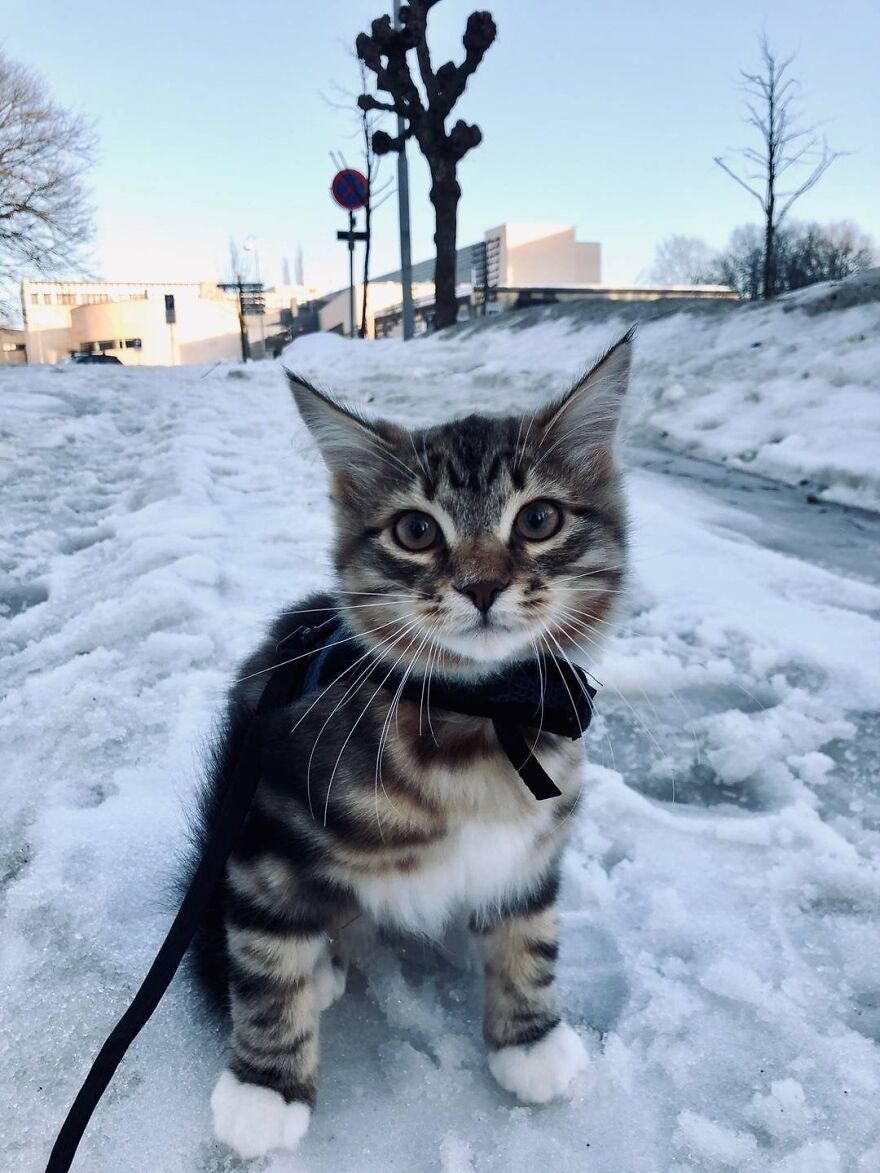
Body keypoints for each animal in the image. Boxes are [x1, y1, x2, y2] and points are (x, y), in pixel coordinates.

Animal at [195, 330, 628, 1154]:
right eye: (417, 531)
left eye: (538, 519)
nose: (483, 585)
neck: (478, 719)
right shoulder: (266, 819)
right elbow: (266, 953)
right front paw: (265, 1086)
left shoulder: (535, 841)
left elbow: (531, 926)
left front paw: (530, 1036)